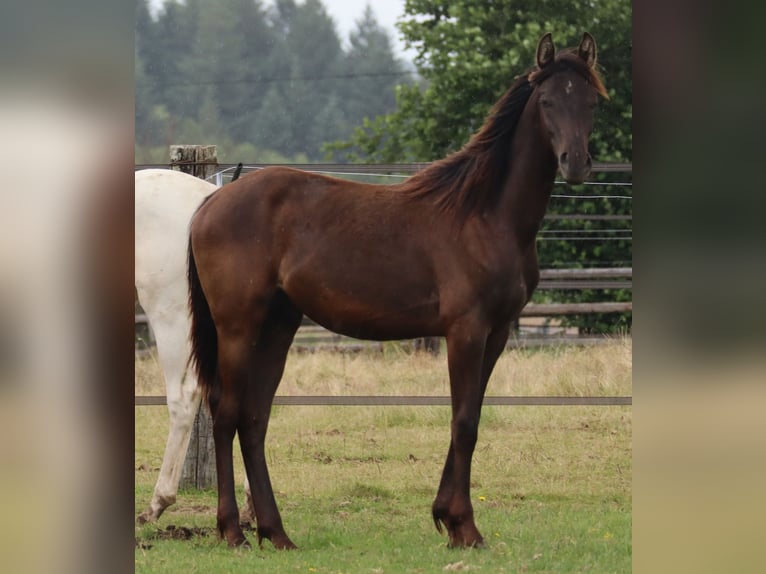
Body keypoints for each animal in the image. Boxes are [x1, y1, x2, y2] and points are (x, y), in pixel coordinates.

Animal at [189, 32, 608, 552]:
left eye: (591, 102)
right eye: (548, 100)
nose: (576, 164)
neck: (485, 214)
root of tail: (211, 201)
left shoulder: (496, 333)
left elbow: (470, 416)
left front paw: (449, 520)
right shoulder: (466, 331)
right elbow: (463, 421)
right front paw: (464, 526)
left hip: (278, 327)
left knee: (253, 419)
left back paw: (277, 533)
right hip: (238, 327)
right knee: (226, 414)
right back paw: (233, 532)